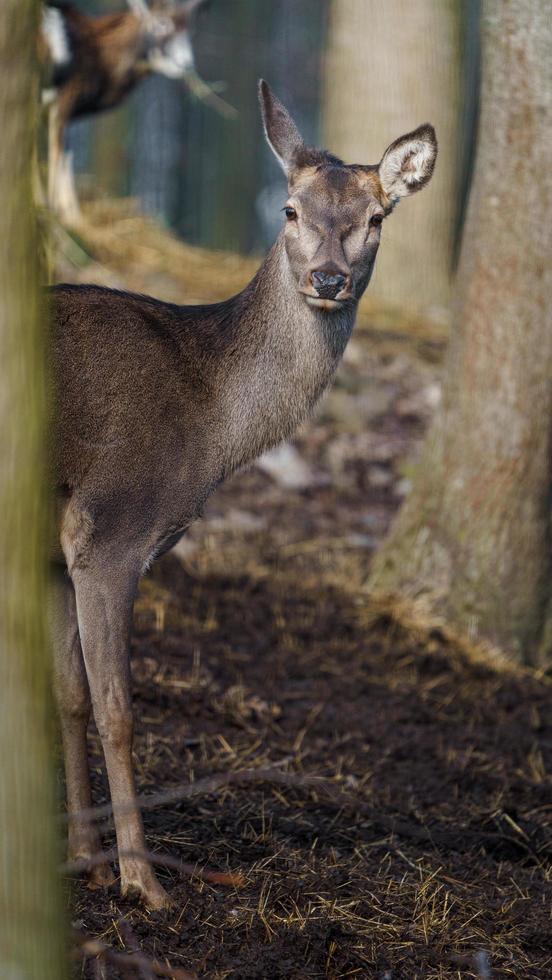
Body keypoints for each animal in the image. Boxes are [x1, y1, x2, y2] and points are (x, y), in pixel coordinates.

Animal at [40, 0, 209, 224]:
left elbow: (63, 157)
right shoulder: (63, 101)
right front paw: (65, 217)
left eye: (189, 29)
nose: (186, 63)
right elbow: (59, 156)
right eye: (161, 23)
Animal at [51, 78, 438, 912]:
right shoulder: (106, 530)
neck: (209, 433)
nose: (327, 278)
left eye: (377, 218)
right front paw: (142, 881)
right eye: (290, 209)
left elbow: (70, 696)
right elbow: (118, 709)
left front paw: (87, 862)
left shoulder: (52, 552)